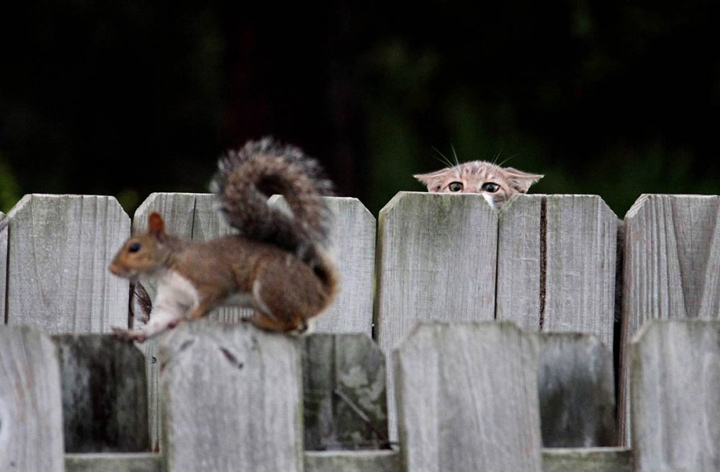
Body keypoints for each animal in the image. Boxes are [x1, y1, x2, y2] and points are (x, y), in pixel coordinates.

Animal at [110, 138, 340, 342]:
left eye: (135, 247)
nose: (112, 269)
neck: (168, 267)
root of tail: (320, 292)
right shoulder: (172, 300)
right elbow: (160, 320)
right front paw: (133, 334)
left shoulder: (209, 280)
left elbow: (208, 300)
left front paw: (188, 318)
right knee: (300, 326)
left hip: (273, 284)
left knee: (292, 322)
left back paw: (260, 321)